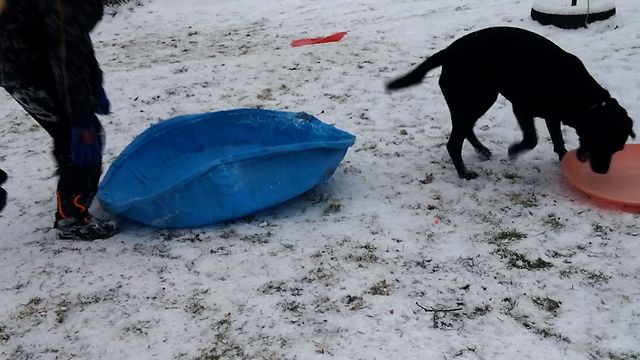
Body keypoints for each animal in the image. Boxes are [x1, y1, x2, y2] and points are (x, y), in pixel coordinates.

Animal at [384, 26, 636, 180]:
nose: (602, 172)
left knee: (465, 129)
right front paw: (514, 150)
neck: (582, 97)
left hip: (479, 98)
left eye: (618, 148)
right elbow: (532, 140)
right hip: (477, 98)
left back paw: (481, 150)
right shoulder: (522, 107)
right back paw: (464, 172)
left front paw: (564, 158)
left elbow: (558, 141)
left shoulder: (552, 116)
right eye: (601, 143)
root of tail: (448, 52)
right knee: (454, 142)